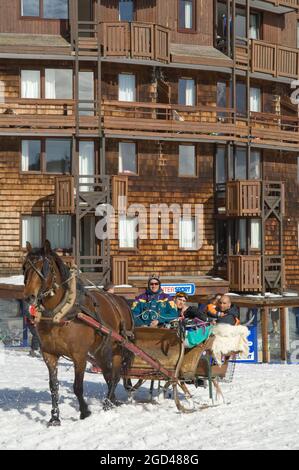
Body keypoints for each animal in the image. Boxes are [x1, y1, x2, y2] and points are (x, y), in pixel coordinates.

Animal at [23, 241, 135, 428]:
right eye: (24, 267)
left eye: (43, 268)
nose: (28, 296)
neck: (61, 314)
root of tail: (122, 302)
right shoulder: (49, 354)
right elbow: (53, 386)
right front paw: (54, 418)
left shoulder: (79, 355)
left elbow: (77, 386)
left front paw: (85, 412)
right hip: (99, 351)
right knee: (108, 374)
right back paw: (112, 400)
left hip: (117, 347)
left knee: (116, 374)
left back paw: (107, 403)